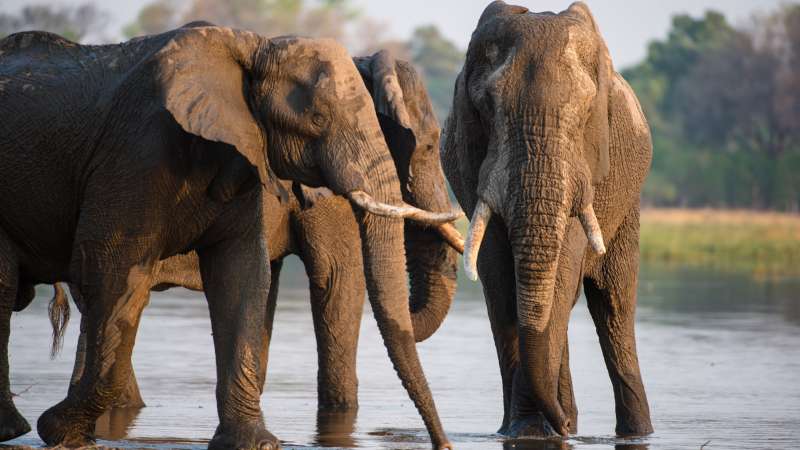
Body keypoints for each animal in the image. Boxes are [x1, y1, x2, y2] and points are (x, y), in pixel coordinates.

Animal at [1, 24, 456, 449]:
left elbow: (244, 277)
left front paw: (255, 442)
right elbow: (337, 281)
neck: (256, 49)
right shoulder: (135, 154)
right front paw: (56, 428)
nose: (444, 443)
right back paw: (23, 427)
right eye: (429, 145)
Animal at [441, 1, 654, 439]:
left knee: (614, 305)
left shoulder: (587, 167)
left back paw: (633, 432)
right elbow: (501, 283)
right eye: (487, 107)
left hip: (628, 204)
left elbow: (559, 284)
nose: (566, 426)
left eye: (587, 111)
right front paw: (525, 432)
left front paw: (534, 431)